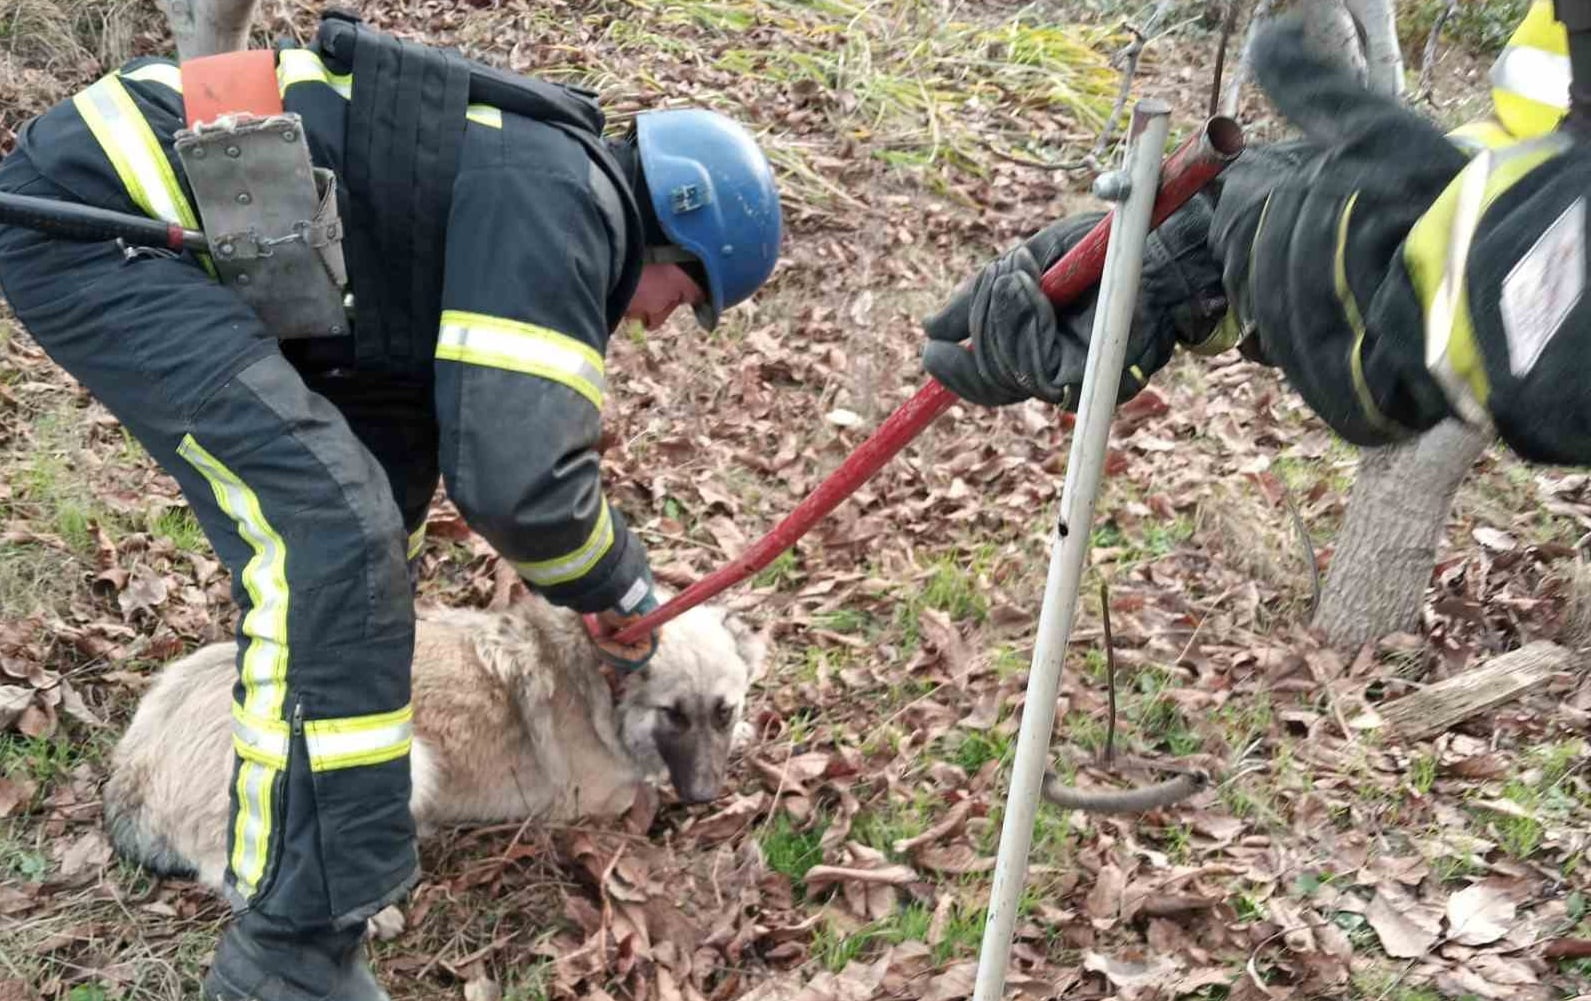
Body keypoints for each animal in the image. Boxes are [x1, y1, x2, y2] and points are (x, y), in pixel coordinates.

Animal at [102, 592, 766, 891]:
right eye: (673, 715)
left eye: (723, 711)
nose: (705, 796)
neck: (599, 683)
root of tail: (137, 764)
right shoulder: (590, 804)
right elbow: (641, 790)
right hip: (401, 756)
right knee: (232, 869)